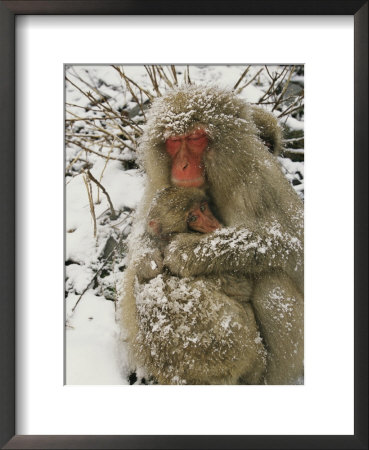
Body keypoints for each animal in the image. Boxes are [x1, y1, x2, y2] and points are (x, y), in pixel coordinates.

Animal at [119, 86, 304, 384]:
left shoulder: (259, 183)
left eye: (195, 138)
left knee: (272, 275)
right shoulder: (160, 185)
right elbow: (143, 234)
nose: (182, 165)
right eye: (174, 141)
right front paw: (148, 259)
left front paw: (185, 253)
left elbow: (294, 248)